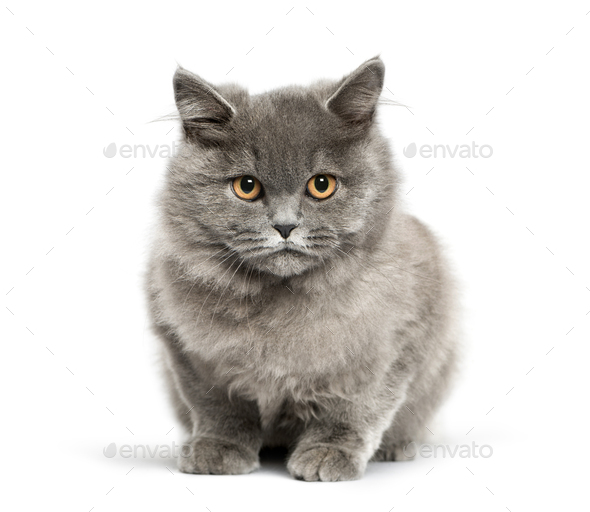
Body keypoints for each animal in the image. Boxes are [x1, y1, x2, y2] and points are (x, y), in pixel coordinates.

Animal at [146, 58, 460, 482]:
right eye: (246, 186)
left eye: (321, 185)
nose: (284, 226)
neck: (281, 305)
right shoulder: (189, 352)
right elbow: (219, 408)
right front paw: (219, 449)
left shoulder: (394, 343)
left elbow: (354, 409)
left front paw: (329, 454)